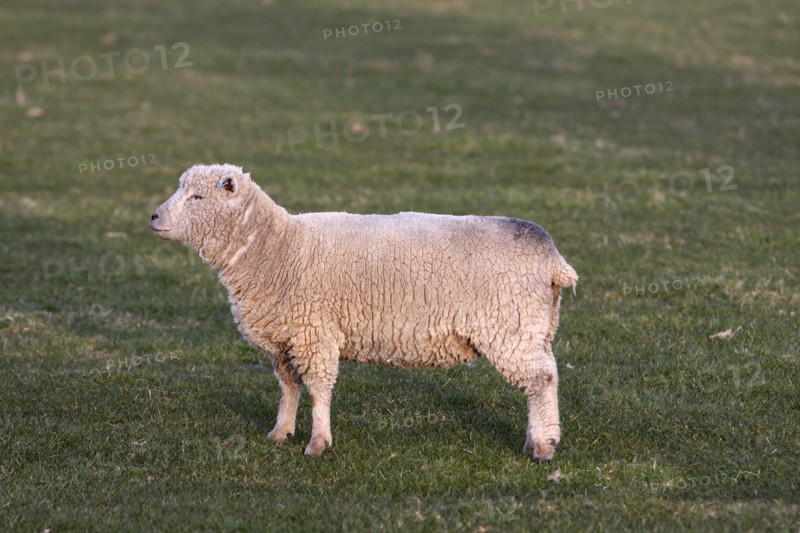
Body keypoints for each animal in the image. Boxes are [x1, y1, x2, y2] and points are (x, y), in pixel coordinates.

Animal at [151, 164, 578, 460]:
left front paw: (317, 442)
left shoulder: (314, 331)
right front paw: (280, 432)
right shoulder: (286, 338)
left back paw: (543, 446)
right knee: (547, 376)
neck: (276, 248)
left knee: (541, 380)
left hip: (510, 326)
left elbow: (318, 387)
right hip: (533, 328)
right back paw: (542, 437)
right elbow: (289, 387)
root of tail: (553, 257)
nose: (154, 217)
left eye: (198, 198)